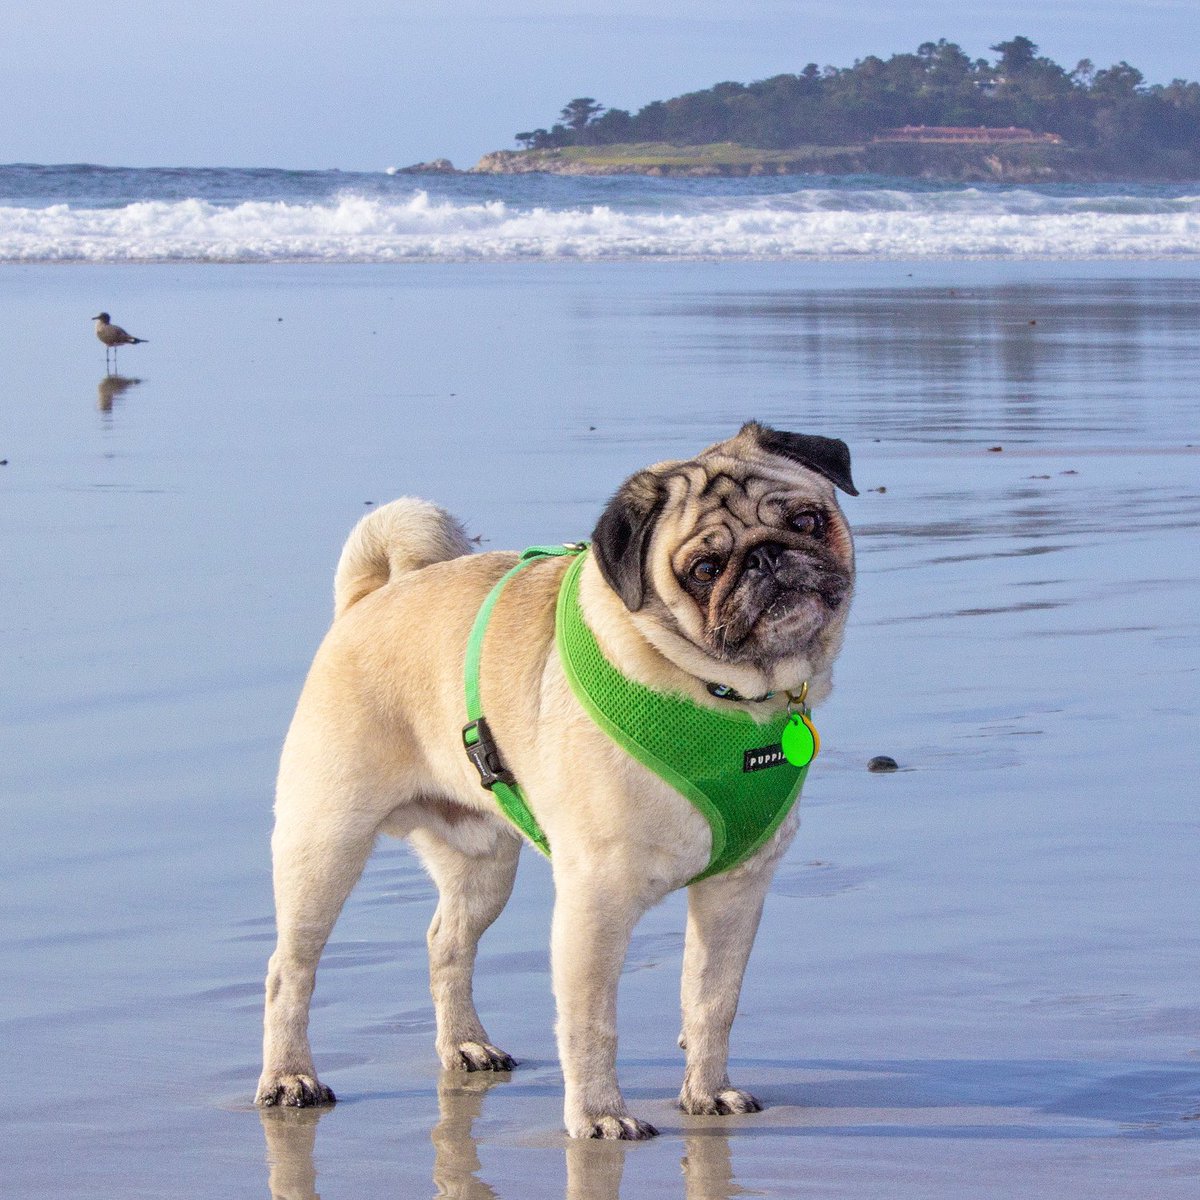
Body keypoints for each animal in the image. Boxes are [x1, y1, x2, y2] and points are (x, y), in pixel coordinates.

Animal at [255, 421, 857, 1138]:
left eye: (806, 521)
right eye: (704, 570)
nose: (767, 557)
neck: (724, 699)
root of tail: (367, 600)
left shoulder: (735, 891)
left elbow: (712, 1002)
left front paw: (706, 1093)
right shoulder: (595, 903)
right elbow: (592, 1024)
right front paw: (599, 1116)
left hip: (483, 867)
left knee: (446, 945)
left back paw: (465, 1044)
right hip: (325, 844)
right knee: (289, 971)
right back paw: (289, 1077)